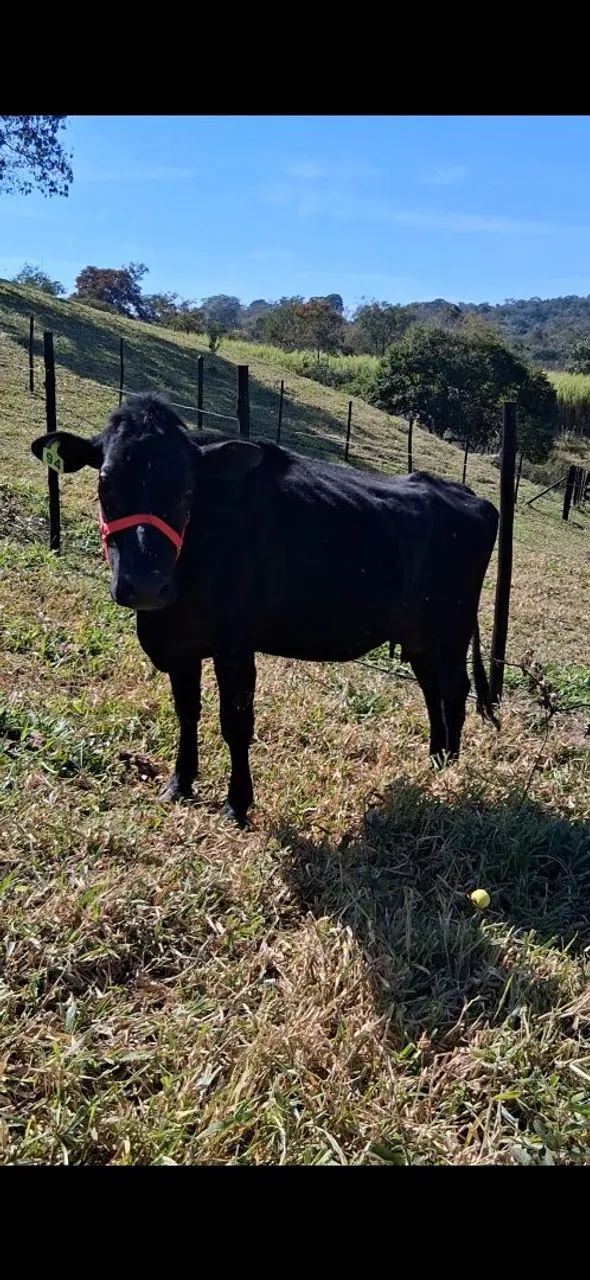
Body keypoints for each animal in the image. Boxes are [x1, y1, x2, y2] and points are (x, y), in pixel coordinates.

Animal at [31, 392, 499, 826]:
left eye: (187, 490)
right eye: (105, 485)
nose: (146, 584)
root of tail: (466, 493)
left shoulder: (235, 645)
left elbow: (235, 723)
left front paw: (237, 804)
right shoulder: (180, 645)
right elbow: (187, 711)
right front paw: (180, 784)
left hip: (451, 629)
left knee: (454, 689)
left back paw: (449, 771)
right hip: (419, 636)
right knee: (431, 689)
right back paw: (436, 760)